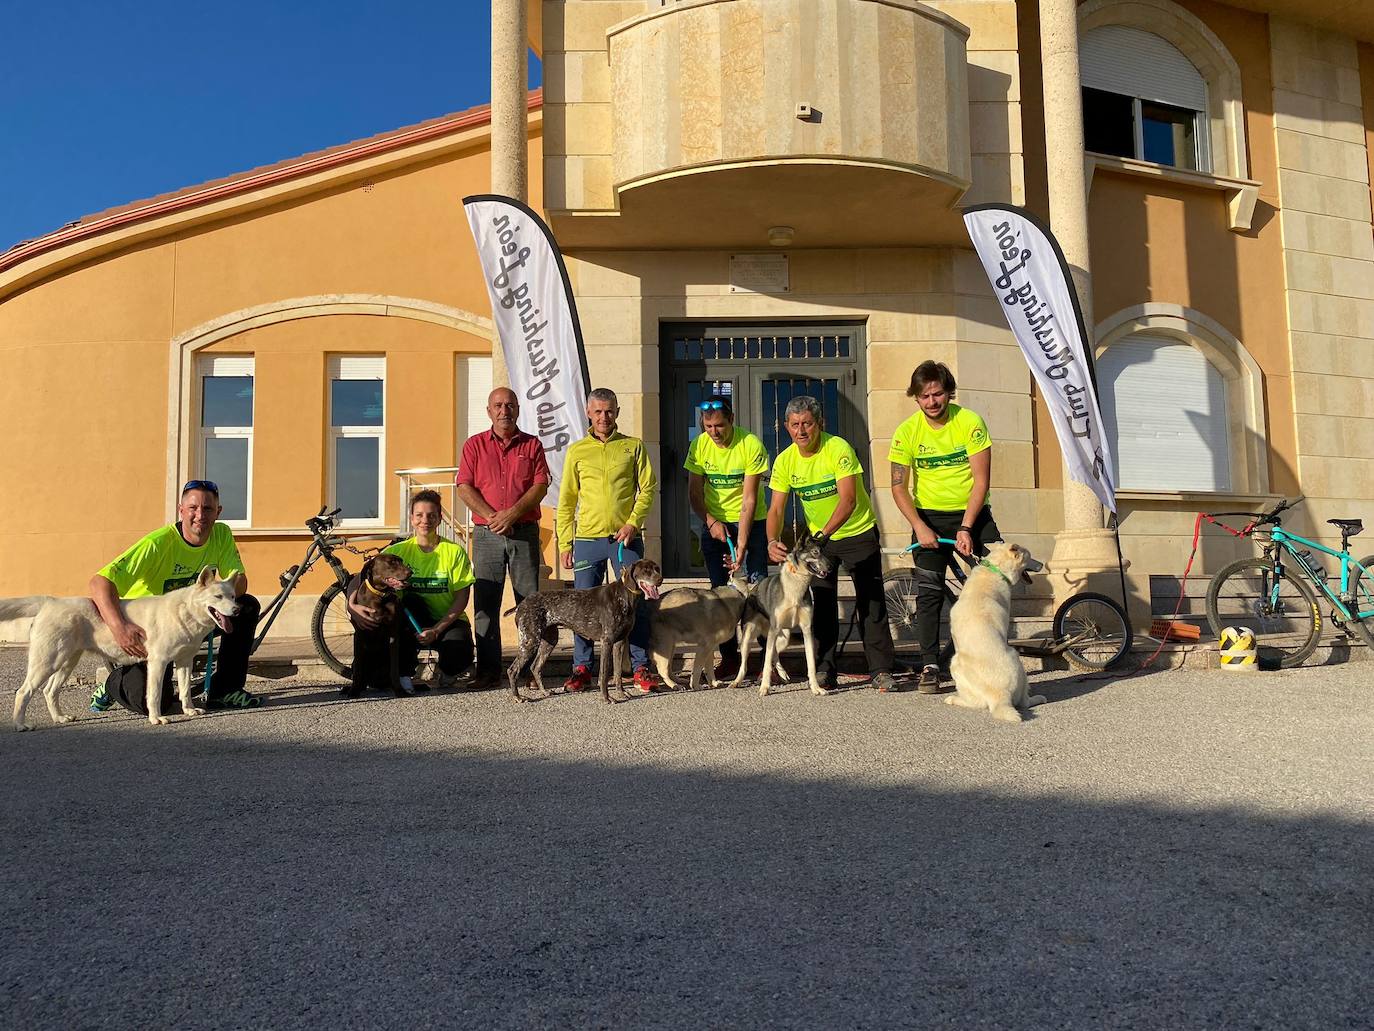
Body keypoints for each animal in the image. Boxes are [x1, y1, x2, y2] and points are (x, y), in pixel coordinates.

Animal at [730, 536, 824, 698]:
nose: (829, 567)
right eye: (815, 552)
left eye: (826, 554)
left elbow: (811, 663)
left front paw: (815, 688)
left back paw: (783, 673)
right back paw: (737, 681)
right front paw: (764, 688)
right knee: (746, 664)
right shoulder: (773, 632)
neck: (796, 588)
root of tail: (751, 590)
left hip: (783, 637)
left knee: (774, 654)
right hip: (749, 637)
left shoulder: (806, 631)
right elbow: (766, 663)